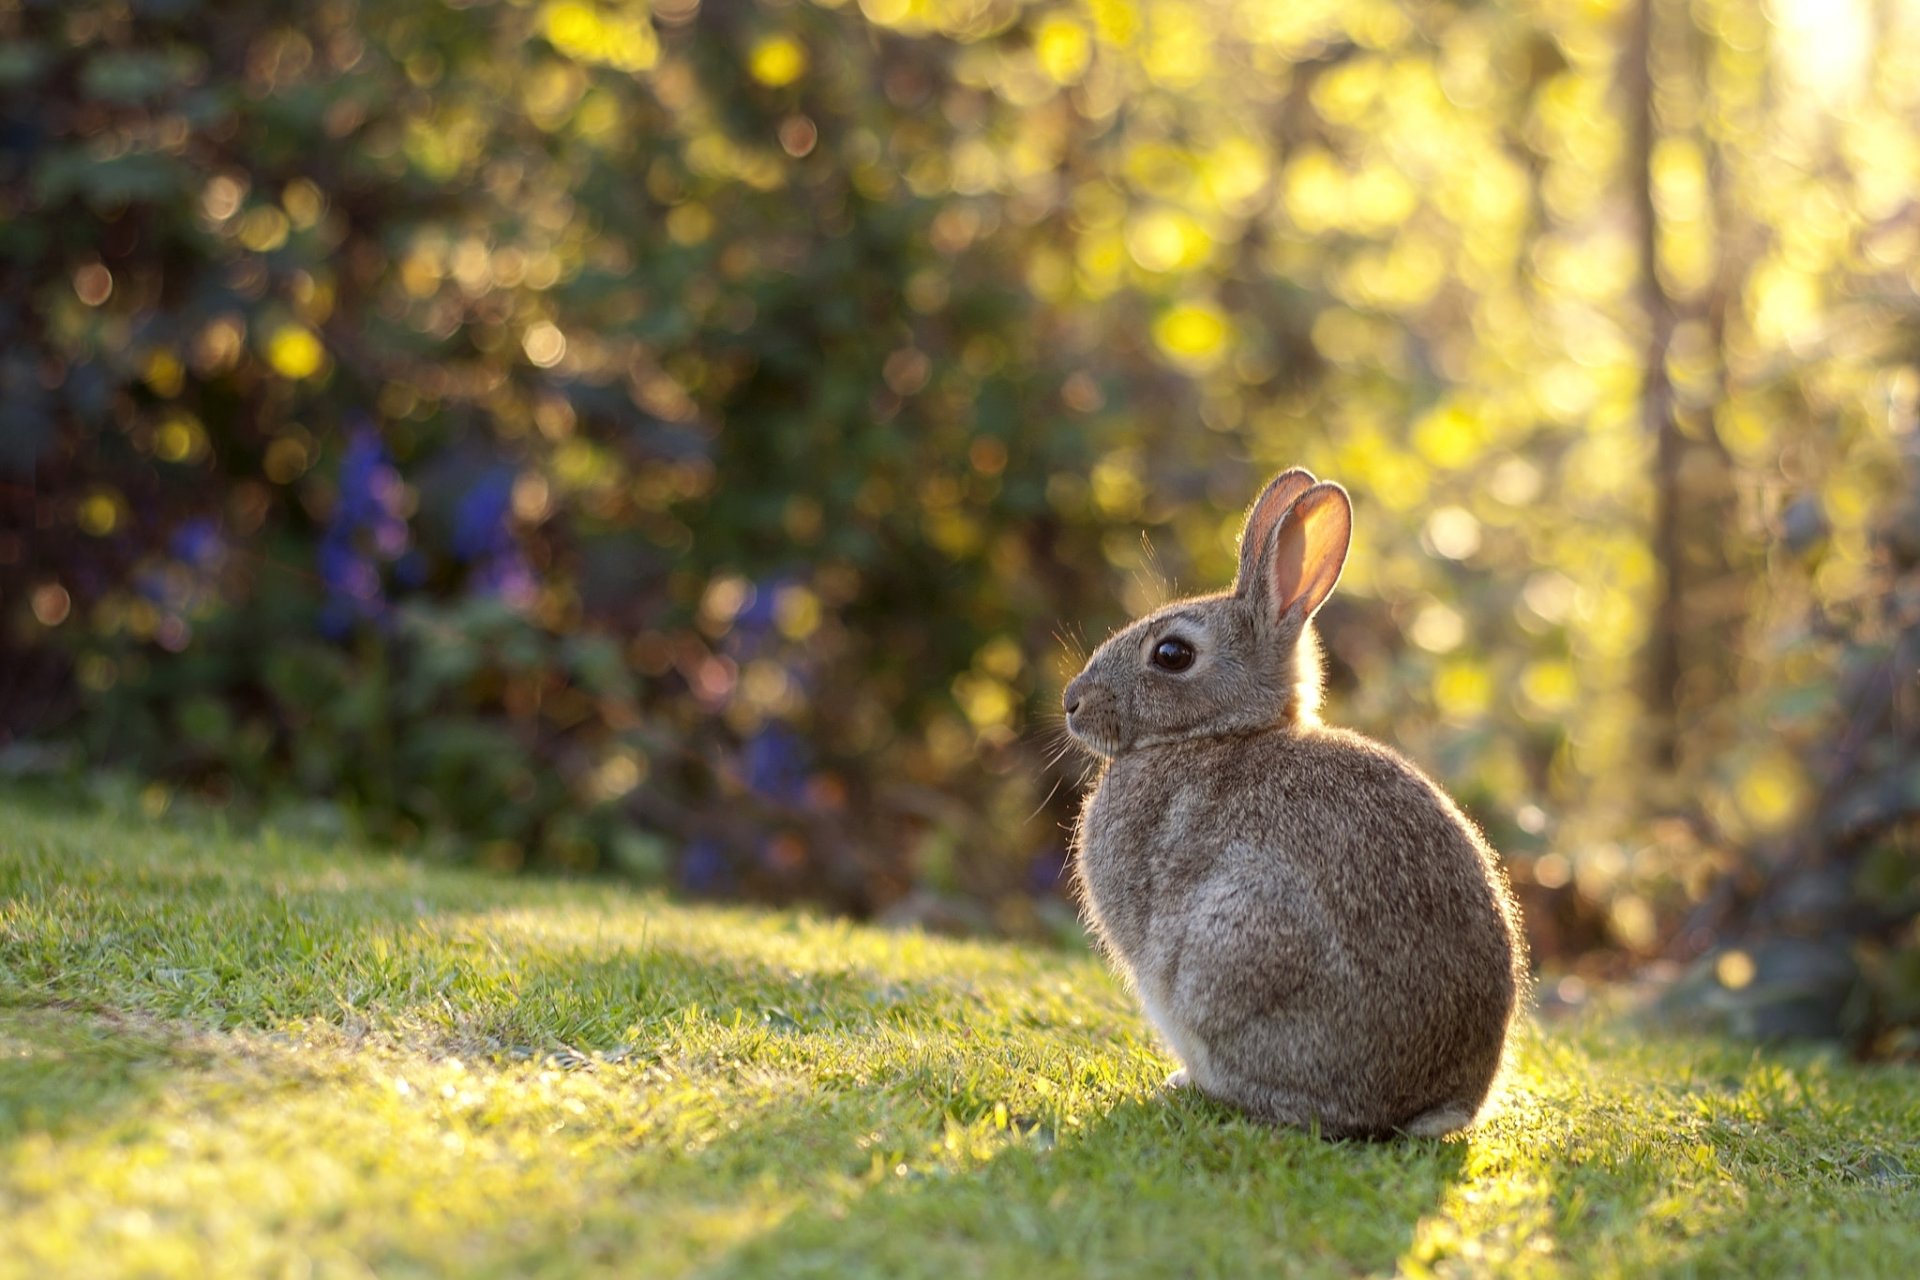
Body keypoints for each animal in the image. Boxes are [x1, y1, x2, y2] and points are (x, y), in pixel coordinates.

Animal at [1062, 468, 1526, 1140]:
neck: (1220, 732)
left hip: (1238, 942)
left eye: (1172, 655)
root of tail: (1432, 1104)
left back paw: (1193, 1085)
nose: (1071, 702)